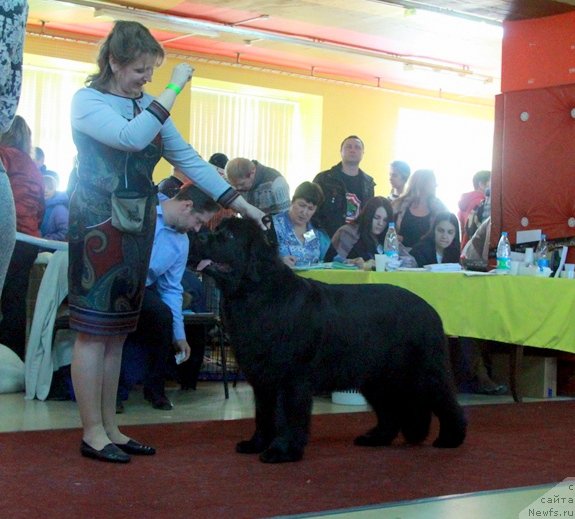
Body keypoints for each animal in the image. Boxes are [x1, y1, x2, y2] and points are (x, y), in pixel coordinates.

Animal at [198, 217, 468, 466]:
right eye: (216, 229)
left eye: (229, 236)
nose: (199, 236)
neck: (256, 293)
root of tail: (429, 309)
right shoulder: (262, 377)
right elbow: (263, 414)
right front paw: (256, 444)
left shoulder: (291, 377)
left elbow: (287, 415)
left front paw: (281, 451)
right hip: (378, 377)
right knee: (391, 412)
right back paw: (375, 438)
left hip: (424, 371)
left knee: (446, 402)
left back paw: (450, 438)